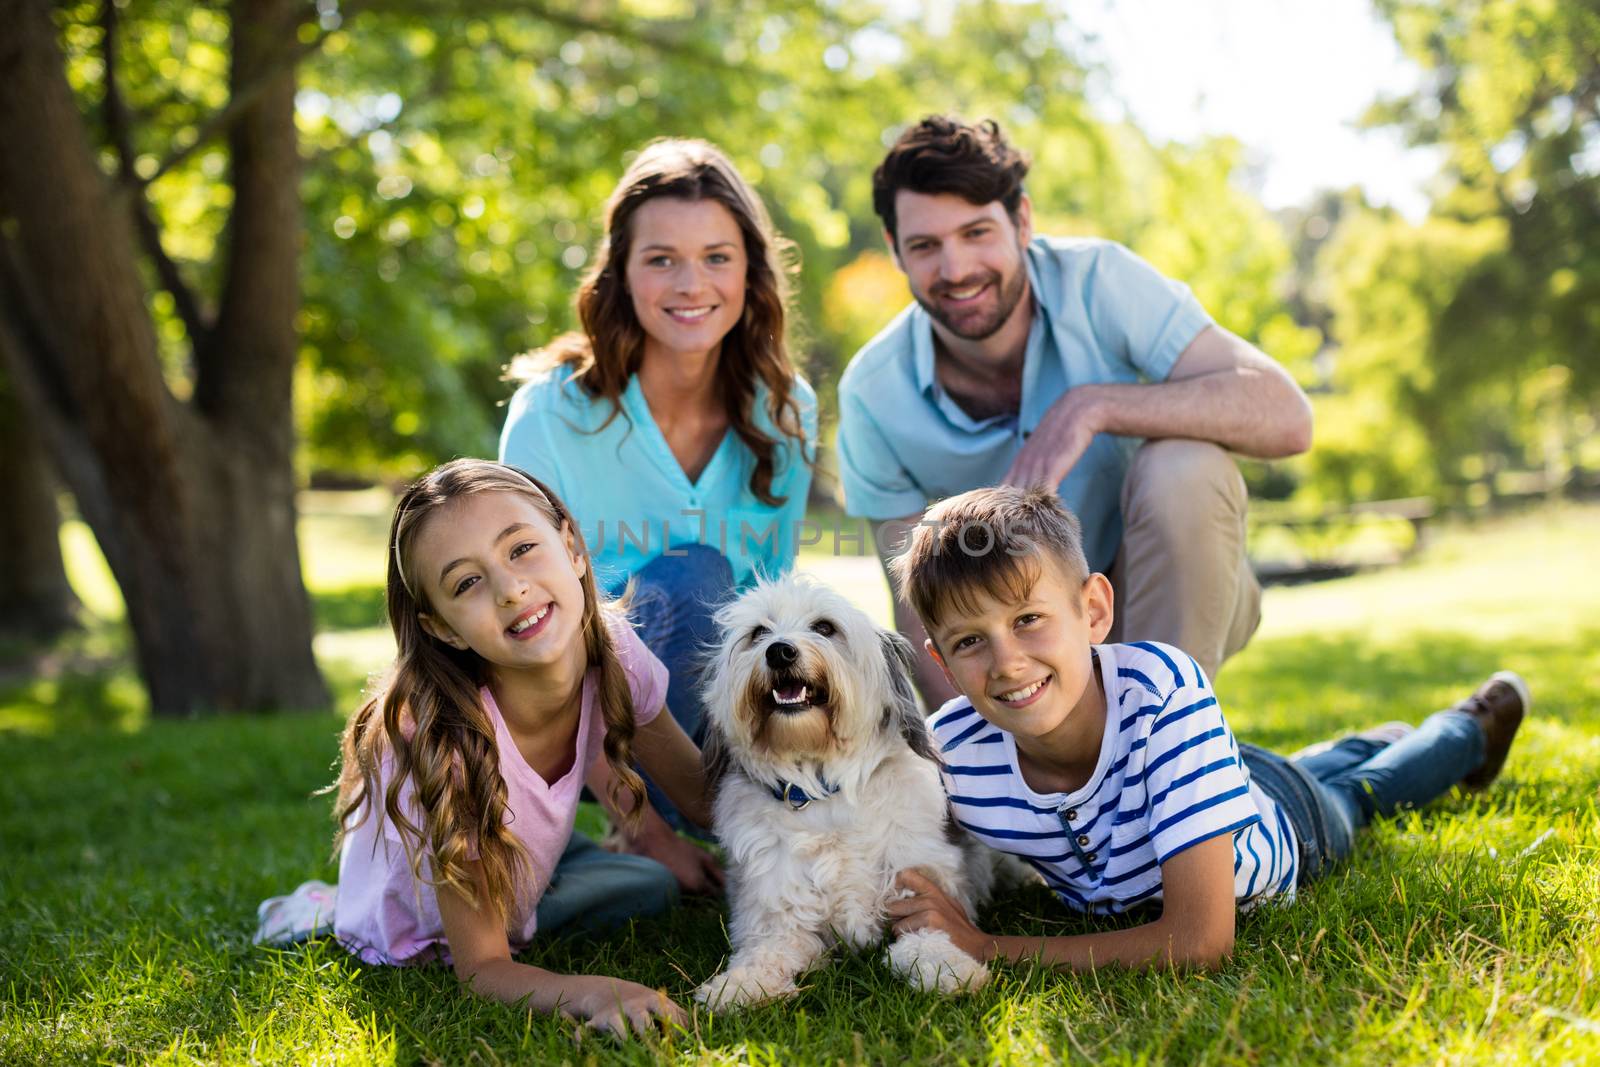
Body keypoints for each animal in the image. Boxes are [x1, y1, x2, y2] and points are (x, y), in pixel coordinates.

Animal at [694, 575, 992, 1011]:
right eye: (758, 633)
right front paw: (739, 985)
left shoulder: (919, 891)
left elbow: (930, 936)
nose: (779, 651)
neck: (823, 788)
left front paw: (949, 967)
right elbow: (765, 952)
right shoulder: (777, 914)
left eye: (824, 627)